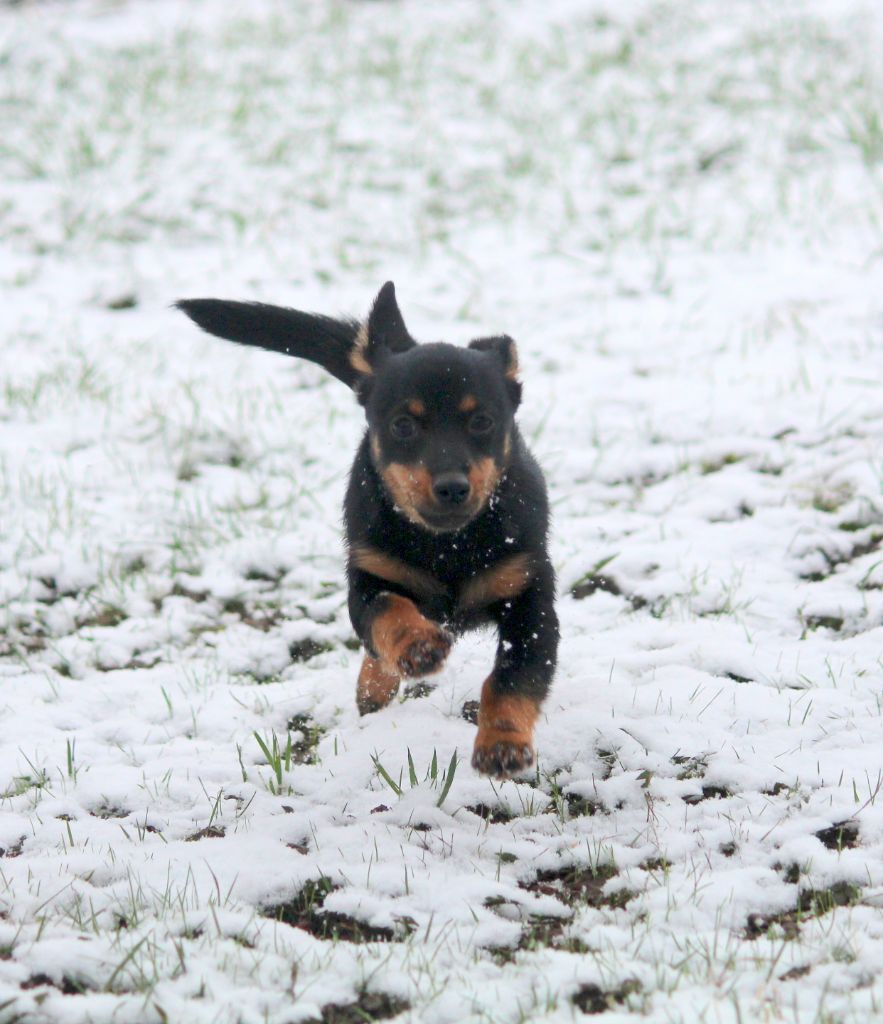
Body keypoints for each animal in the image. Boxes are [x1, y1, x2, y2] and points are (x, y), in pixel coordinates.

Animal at [175, 280, 557, 774]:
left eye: (482, 421)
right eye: (403, 425)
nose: (452, 487)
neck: (448, 545)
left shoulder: (530, 596)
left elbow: (514, 675)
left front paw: (502, 745)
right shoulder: (369, 578)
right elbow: (386, 612)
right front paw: (417, 647)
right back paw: (375, 687)